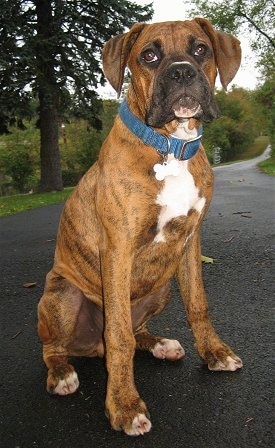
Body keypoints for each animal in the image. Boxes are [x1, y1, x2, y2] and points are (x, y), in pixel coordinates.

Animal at [38, 19, 244, 436]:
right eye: (149, 55)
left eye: (201, 49)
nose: (181, 72)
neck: (170, 145)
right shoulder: (118, 249)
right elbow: (117, 335)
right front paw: (124, 405)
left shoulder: (190, 242)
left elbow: (199, 305)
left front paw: (214, 353)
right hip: (62, 295)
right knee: (57, 348)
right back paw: (62, 374)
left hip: (161, 286)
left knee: (136, 332)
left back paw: (160, 343)